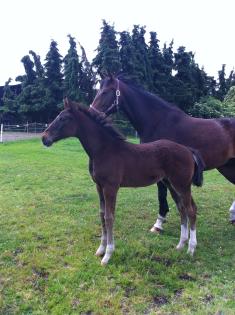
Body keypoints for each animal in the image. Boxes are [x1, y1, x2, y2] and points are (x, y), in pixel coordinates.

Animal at [41, 99, 204, 266]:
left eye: (64, 118)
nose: (44, 138)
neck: (104, 150)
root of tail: (188, 150)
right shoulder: (99, 187)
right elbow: (102, 215)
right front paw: (100, 249)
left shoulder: (110, 188)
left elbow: (109, 217)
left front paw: (108, 255)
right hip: (171, 184)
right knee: (182, 209)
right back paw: (180, 245)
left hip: (182, 185)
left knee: (191, 210)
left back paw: (191, 249)